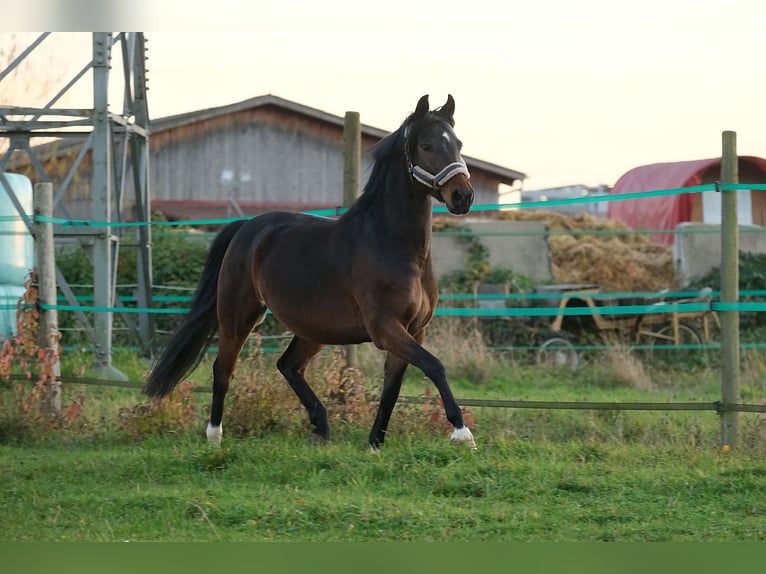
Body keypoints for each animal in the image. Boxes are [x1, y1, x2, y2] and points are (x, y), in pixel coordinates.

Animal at [143, 94, 477, 451]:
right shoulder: (386, 328)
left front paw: (374, 444)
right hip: (238, 317)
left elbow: (393, 389)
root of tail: (246, 227)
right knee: (224, 370)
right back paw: (215, 436)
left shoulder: (414, 330)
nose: (463, 196)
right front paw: (462, 433)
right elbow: (434, 366)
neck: (394, 245)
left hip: (315, 328)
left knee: (288, 365)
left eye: (458, 144)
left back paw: (321, 426)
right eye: (426, 145)